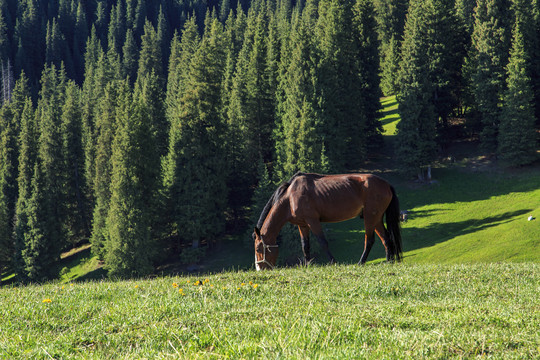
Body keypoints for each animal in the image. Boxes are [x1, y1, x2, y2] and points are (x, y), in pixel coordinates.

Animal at [253, 172, 400, 270]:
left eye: (258, 248)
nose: (260, 268)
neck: (290, 197)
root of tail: (386, 184)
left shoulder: (313, 221)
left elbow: (323, 242)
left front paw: (333, 262)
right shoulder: (303, 225)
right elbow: (305, 246)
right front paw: (307, 265)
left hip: (370, 217)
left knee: (369, 240)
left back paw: (361, 262)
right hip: (377, 218)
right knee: (386, 238)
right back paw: (389, 261)